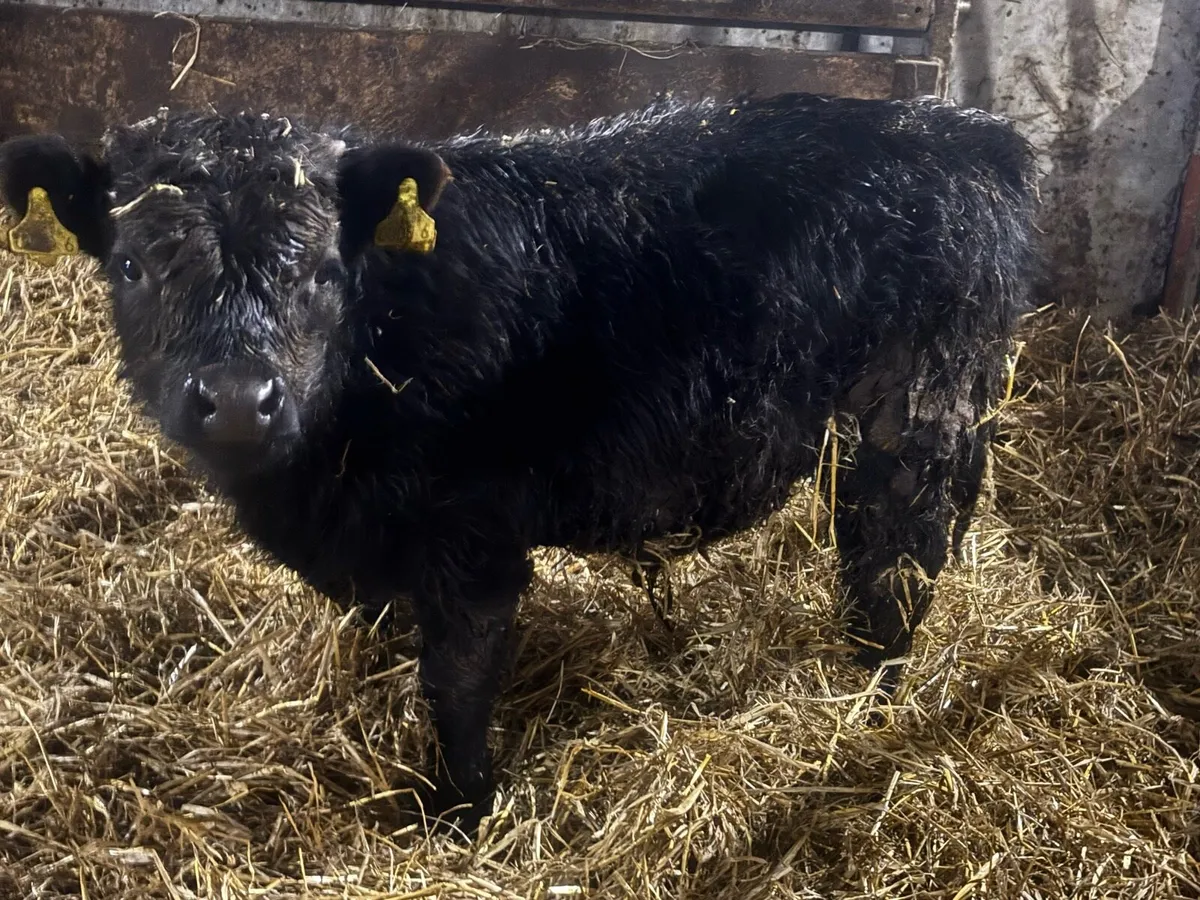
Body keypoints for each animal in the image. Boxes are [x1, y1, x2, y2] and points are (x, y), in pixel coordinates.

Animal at [0, 92, 1039, 836]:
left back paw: (869, 706)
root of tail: (965, 133)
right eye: (132, 266)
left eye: (325, 272)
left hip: (920, 411)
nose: (236, 397)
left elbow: (456, 684)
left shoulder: (476, 538)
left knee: (896, 563)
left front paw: (459, 816)